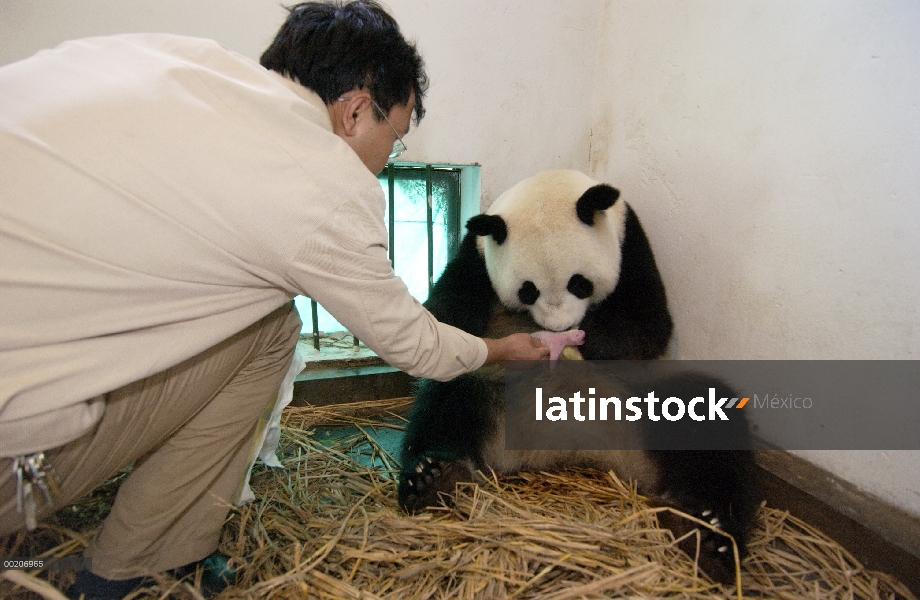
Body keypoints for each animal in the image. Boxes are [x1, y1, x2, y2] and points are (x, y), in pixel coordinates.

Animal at [398, 170, 760, 584]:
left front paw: (588, 340)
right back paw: (433, 478)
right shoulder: (474, 258)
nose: (561, 327)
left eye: (578, 282)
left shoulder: (630, 243)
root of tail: (573, 449)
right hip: (492, 390)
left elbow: (647, 323)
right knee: (449, 400)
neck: (549, 186)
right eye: (528, 290)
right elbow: (445, 314)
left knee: (707, 418)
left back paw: (708, 536)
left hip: (644, 399)